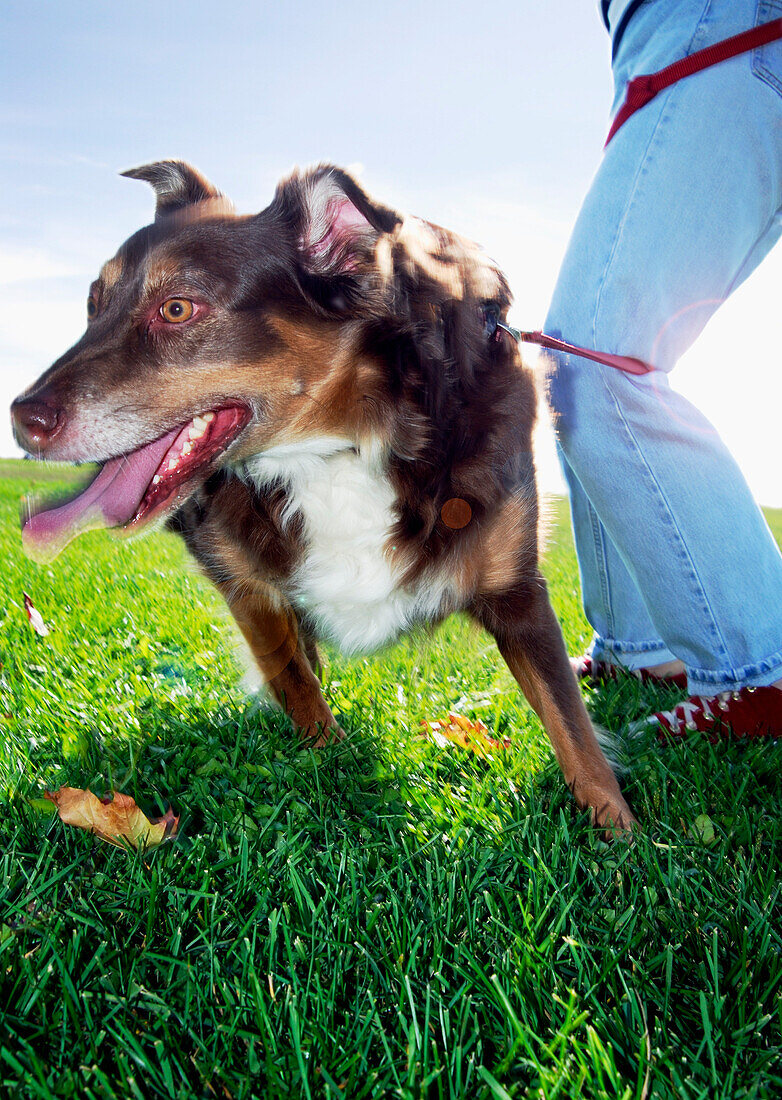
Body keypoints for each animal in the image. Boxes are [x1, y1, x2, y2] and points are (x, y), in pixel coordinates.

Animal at [10, 160, 637, 831]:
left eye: (177, 308)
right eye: (92, 305)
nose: (22, 419)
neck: (344, 445)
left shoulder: (516, 588)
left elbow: (569, 722)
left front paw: (619, 829)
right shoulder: (246, 584)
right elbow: (295, 682)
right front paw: (326, 761)